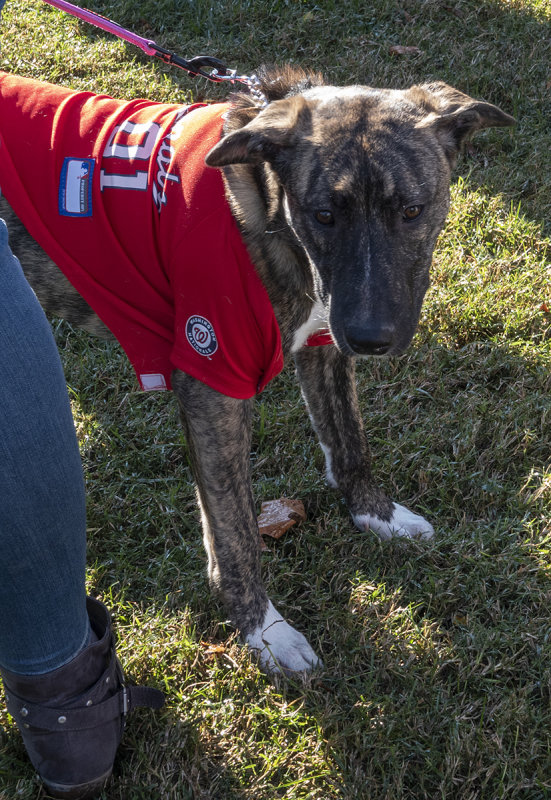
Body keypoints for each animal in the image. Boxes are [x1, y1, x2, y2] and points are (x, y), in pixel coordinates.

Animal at [1, 65, 516, 672]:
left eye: (412, 211)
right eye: (323, 215)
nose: (371, 339)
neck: (265, 215)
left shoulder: (323, 342)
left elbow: (350, 444)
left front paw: (376, 515)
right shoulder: (212, 384)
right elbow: (235, 530)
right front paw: (264, 630)